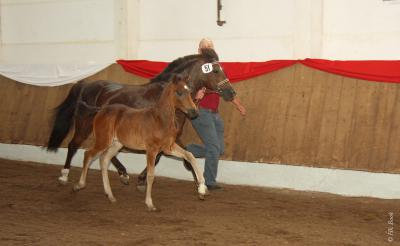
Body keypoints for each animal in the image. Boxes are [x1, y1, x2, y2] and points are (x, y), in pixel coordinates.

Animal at [73, 75, 208, 211]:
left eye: (189, 92)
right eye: (179, 92)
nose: (194, 112)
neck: (160, 119)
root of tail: (101, 109)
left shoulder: (168, 147)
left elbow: (190, 156)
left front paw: (202, 189)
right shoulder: (151, 150)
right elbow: (151, 175)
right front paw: (150, 203)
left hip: (116, 144)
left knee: (104, 160)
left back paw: (110, 196)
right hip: (103, 140)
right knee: (88, 154)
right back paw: (79, 185)